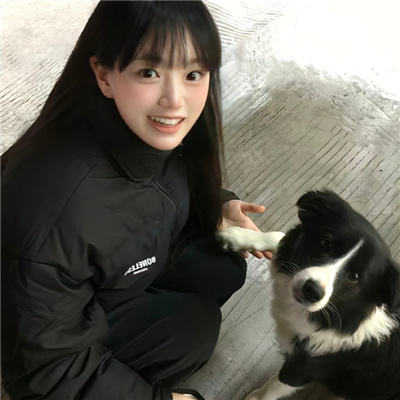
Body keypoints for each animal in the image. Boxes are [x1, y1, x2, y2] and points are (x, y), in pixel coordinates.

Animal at [217, 190, 400, 400]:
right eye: (326, 244)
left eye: (355, 276)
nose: (312, 291)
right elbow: (278, 236)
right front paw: (238, 236)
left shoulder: (304, 367)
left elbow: (273, 386)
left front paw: (254, 397)